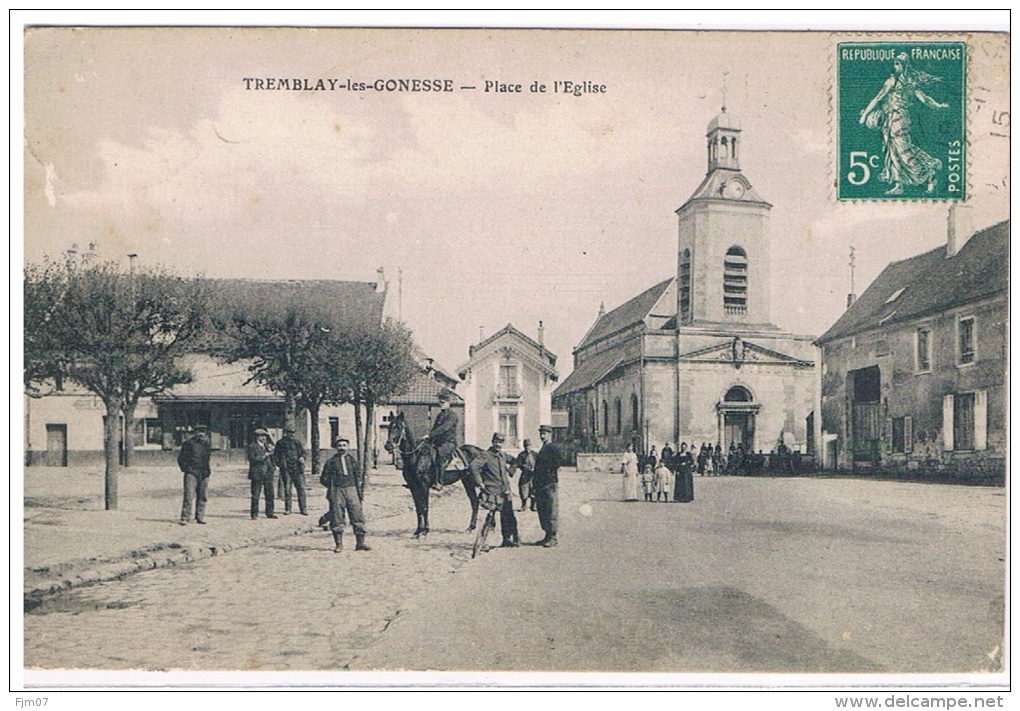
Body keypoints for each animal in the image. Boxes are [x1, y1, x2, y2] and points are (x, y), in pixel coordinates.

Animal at [383, 410, 483, 538]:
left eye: (399, 427)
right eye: (390, 426)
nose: (388, 446)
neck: (417, 456)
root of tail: (480, 451)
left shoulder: (424, 486)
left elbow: (425, 507)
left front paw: (425, 531)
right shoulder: (413, 487)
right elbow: (418, 509)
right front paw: (417, 531)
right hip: (467, 481)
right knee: (474, 501)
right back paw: (471, 527)